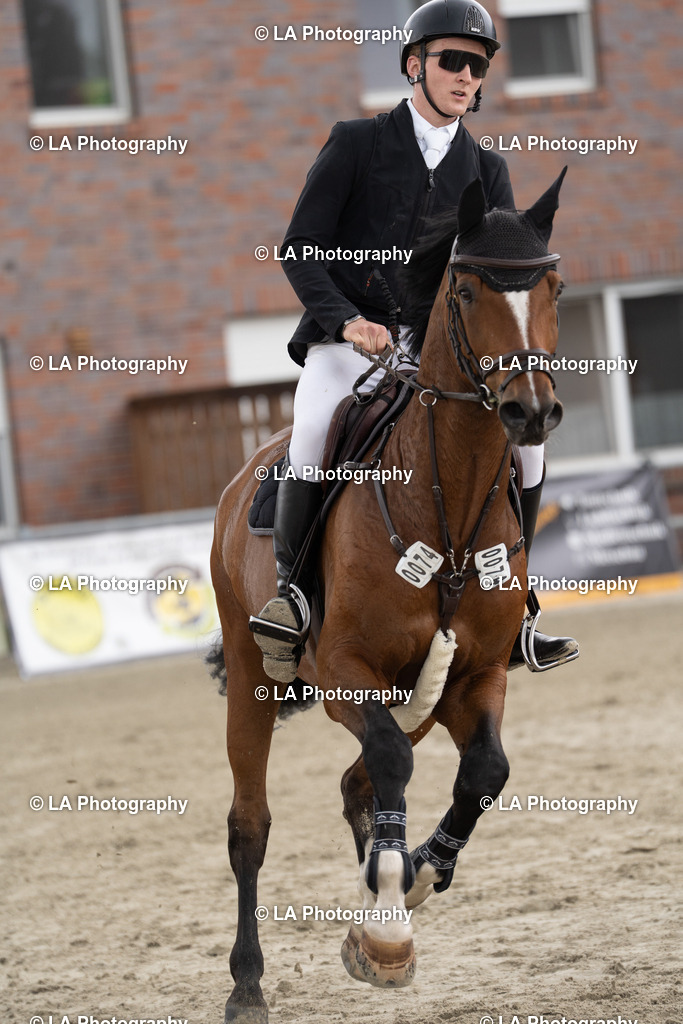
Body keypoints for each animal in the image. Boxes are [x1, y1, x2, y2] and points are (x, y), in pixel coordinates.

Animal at [210, 168, 568, 1023]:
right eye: (466, 290)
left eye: (554, 287)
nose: (530, 411)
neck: (446, 505)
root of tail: (246, 474)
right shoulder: (348, 670)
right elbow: (392, 765)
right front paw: (386, 932)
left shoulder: (475, 675)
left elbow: (484, 774)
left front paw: (416, 879)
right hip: (254, 675)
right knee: (252, 824)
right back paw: (248, 983)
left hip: (420, 692)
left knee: (361, 782)